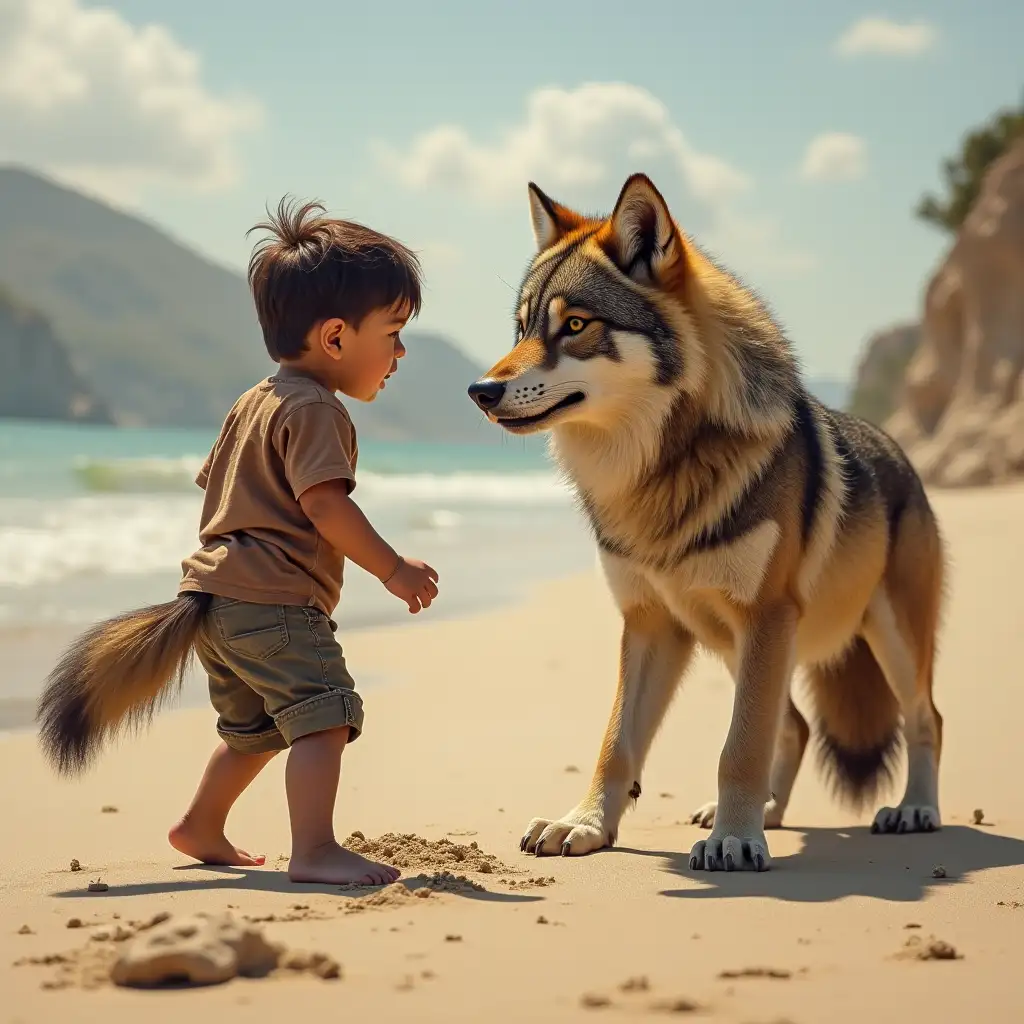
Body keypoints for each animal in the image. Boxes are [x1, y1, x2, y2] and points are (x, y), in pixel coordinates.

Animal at [468, 174, 946, 872]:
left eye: (576, 325)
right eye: (522, 326)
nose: (479, 391)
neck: (657, 472)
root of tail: (899, 451)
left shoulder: (765, 615)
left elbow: (737, 747)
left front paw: (733, 840)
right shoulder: (648, 624)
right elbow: (617, 744)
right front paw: (584, 824)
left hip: (884, 640)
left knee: (924, 718)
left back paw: (914, 810)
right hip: (728, 642)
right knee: (796, 724)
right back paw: (770, 814)